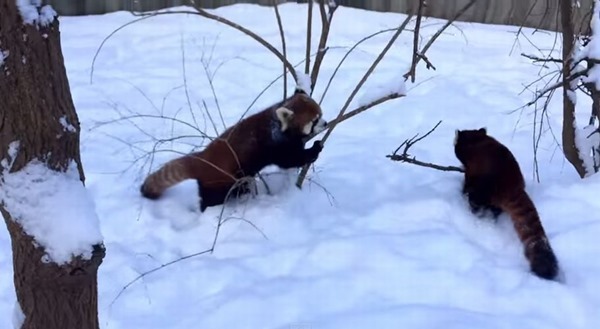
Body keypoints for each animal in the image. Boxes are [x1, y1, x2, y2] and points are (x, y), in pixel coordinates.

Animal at [141, 89, 328, 211]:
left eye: (321, 114)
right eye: (315, 120)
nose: (326, 123)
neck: (278, 124)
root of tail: (201, 158)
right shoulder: (274, 144)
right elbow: (290, 159)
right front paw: (315, 149)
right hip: (219, 180)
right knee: (213, 199)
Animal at [458, 127, 560, 280]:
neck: (479, 140)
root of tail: (513, 186)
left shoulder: (471, 170)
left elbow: (467, 182)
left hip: (485, 188)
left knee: (476, 201)